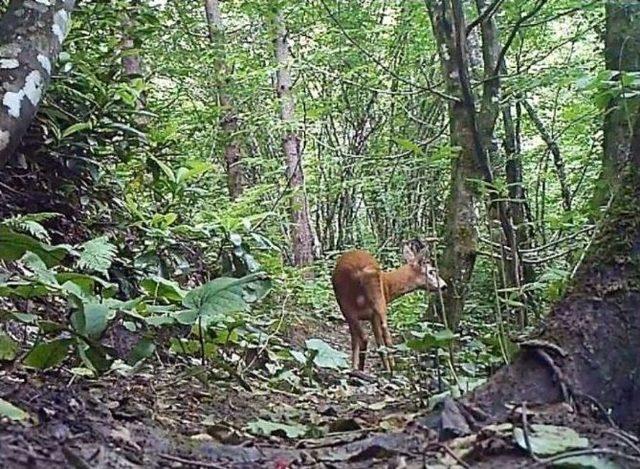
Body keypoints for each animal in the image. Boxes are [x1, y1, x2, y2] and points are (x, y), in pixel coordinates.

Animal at [332, 239, 448, 372]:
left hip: (352, 304)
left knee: (372, 336)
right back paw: (389, 368)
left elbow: (359, 340)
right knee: (381, 334)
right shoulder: (372, 314)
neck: (388, 286)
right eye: (431, 271)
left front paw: (353, 366)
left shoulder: (368, 315)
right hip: (367, 301)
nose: (444, 286)